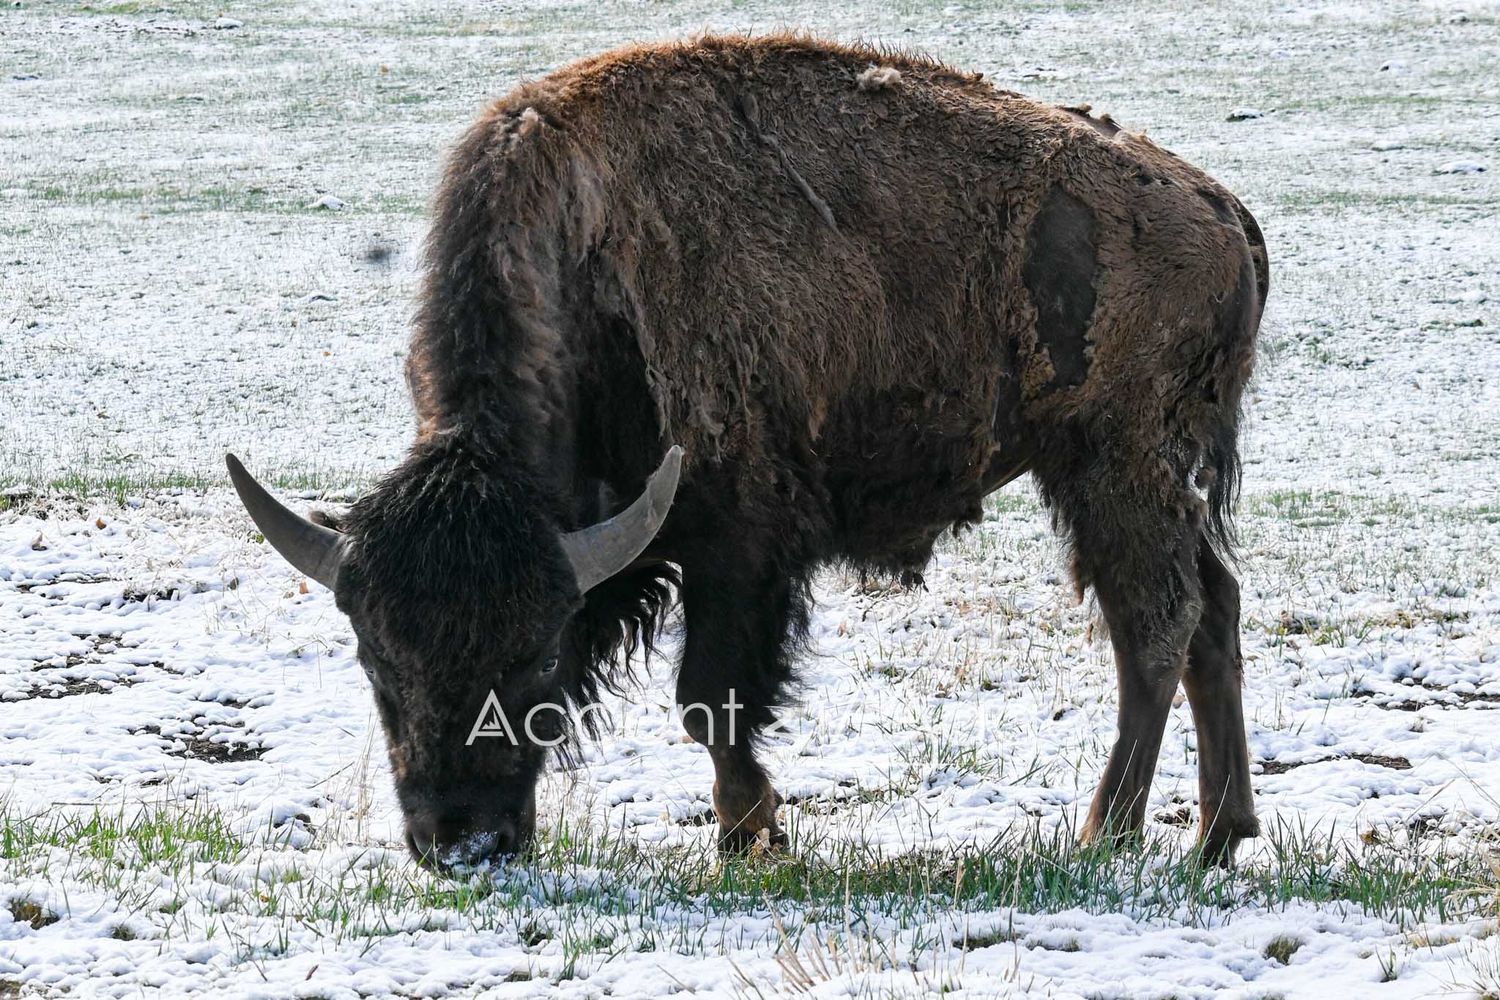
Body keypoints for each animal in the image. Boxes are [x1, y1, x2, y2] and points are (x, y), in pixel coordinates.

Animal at [228, 34, 1268, 868]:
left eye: (536, 653)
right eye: (374, 658)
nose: (461, 843)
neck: (585, 264)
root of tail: (1223, 210)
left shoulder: (738, 543)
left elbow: (711, 697)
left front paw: (748, 832)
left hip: (1115, 466)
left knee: (1155, 626)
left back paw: (1107, 833)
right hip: (1139, 480)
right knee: (1212, 611)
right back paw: (1219, 836)